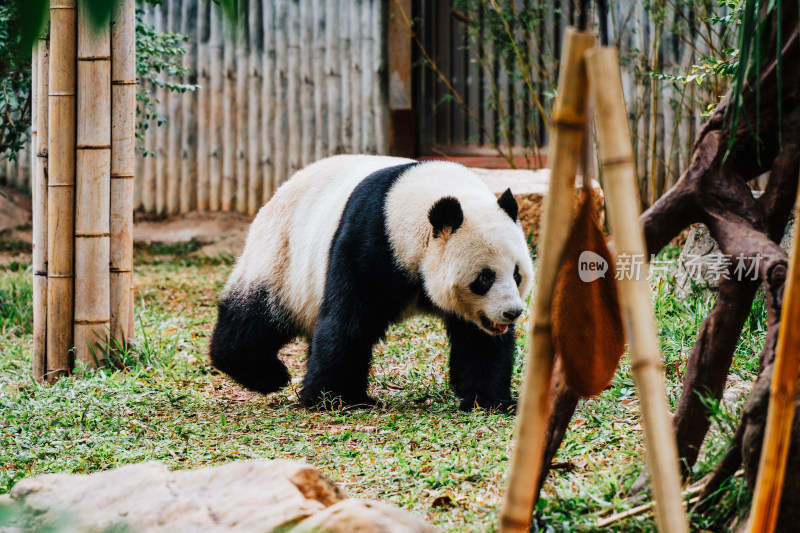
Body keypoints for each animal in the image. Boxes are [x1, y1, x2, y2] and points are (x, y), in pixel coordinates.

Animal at [212, 154, 536, 412]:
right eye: (484, 278)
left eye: (517, 274)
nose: (512, 313)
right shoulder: (370, 239)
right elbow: (348, 323)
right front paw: (333, 398)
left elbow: (479, 341)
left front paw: (490, 401)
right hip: (282, 258)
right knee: (255, 319)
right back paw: (267, 375)